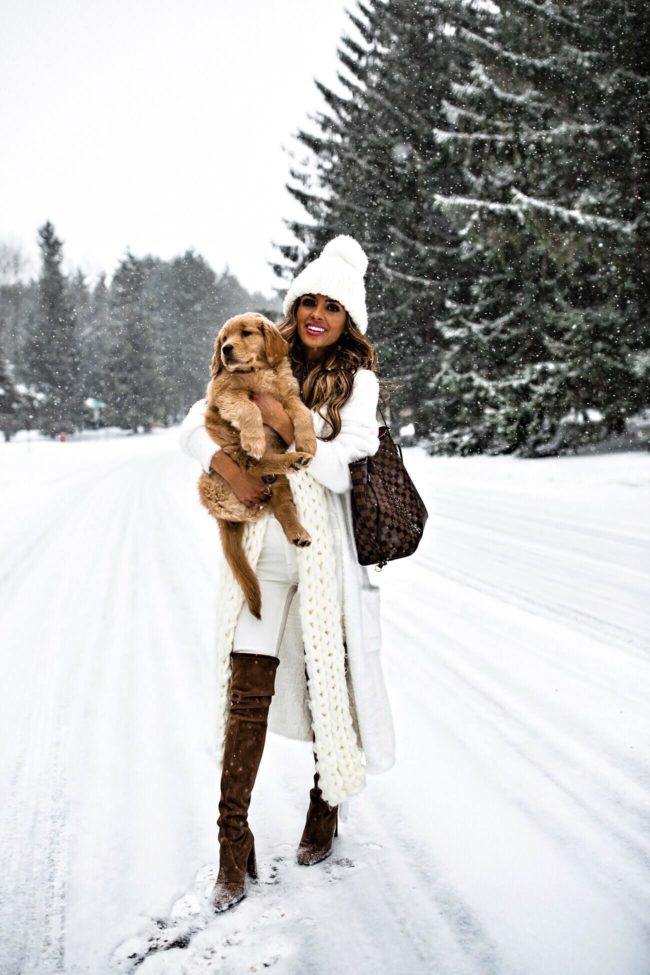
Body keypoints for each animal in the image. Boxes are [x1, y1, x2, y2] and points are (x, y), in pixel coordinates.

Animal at [199, 312, 318, 616]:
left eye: (246, 333)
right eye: (224, 338)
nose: (226, 349)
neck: (258, 371)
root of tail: (224, 519)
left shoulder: (290, 395)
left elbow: (302, 413)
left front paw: (308, 443)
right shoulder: (227, 395)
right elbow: (249, 408)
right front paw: (254, 439)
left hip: (281, 488)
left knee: (284, 508)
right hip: (229, 456)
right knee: (254, 464)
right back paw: (279, 457)